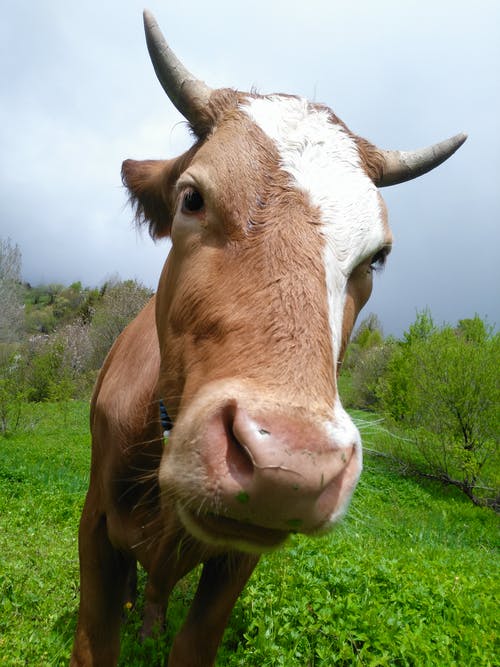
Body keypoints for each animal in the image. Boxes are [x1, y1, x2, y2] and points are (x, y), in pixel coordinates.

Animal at [69, 10, 464, 667]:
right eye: (192, 197)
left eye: (377, 256)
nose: (291, 464)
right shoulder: (95, 526)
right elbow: (95, 638)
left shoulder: (235, 565)